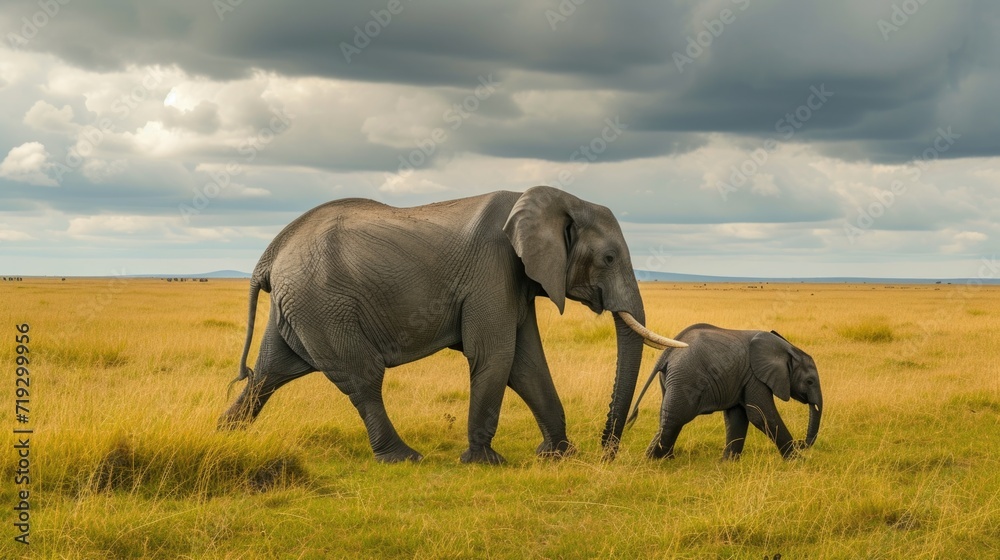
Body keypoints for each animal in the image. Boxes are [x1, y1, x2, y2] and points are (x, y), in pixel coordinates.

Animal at [218, 186, 686, 464]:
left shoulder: (515, 280)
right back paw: (404, 457)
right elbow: (497, 357)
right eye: (608, 258)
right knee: (362, 378)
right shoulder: (493, 270)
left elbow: (527, 365)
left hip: (299, 305)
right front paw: (484, 463)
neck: (554, 198)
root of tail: (270, 256)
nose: (606, 454)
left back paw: (224, 435)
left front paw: (557, 456)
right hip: (323, 303)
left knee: (269, 373)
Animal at [626, 323, 822, 460]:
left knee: (670, 417)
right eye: (810, 381)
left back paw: (659, 459)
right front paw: (799, 461)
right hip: (686, 377)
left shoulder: (742, 378)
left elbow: (738, 417)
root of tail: (666, 353)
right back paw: (655, 461)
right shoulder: (755, 375)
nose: (800, 443)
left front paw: (728, 462)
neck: (786, 348)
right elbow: (761, 415)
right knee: (676, 416)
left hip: (672, 378)